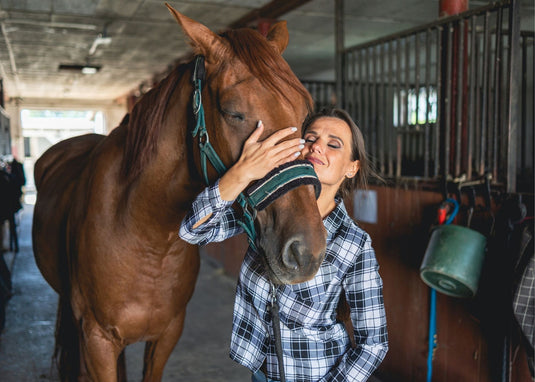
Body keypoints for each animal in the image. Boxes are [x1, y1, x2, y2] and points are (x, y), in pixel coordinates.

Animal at [33, 3, 328, 382]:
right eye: (232, 112)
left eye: (305, 112)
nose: (306, 252)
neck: (146, 233)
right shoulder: (96, 339)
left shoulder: (167, 335)